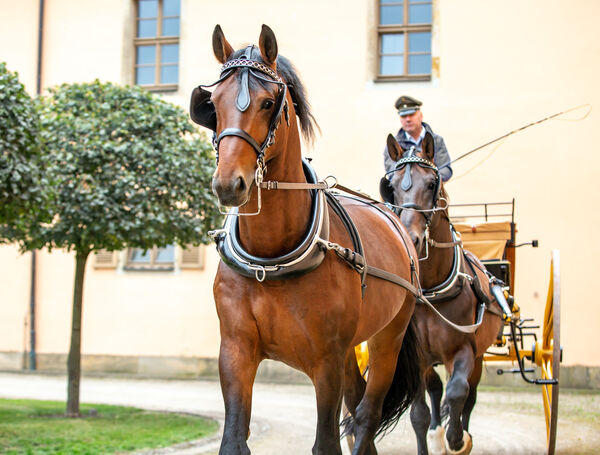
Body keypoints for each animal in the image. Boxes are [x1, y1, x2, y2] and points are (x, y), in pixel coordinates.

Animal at [190, 25, 420, 455]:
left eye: (267, 103)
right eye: (212, 103)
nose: (229, 183)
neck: (271, 259)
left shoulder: (326, 360)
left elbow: (326, 442)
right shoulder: (235, 351)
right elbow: (234, 440)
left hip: (388, 339)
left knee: (366, 417)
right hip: (351, 352)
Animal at [380, 133, 506, 455]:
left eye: (431, 183)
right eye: (392, 186)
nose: (410, 238)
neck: (431, 292)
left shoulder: (464, 350)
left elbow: (458, 393)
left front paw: (459, 440)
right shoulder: (417, 357)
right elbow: (420, 414)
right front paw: (436, 437)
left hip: (479, 354)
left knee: (468, 394)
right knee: (436, 390)